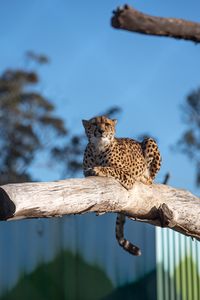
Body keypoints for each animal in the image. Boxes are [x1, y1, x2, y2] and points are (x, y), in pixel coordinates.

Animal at [82, 115, 162, 255]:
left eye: (107, 124)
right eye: (94, 124)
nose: (101, 131)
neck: (98, 148)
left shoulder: (128, 176)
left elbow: (111, 169)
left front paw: (97, 169)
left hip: (149, 140)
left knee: (151, 180)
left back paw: (145, 178)